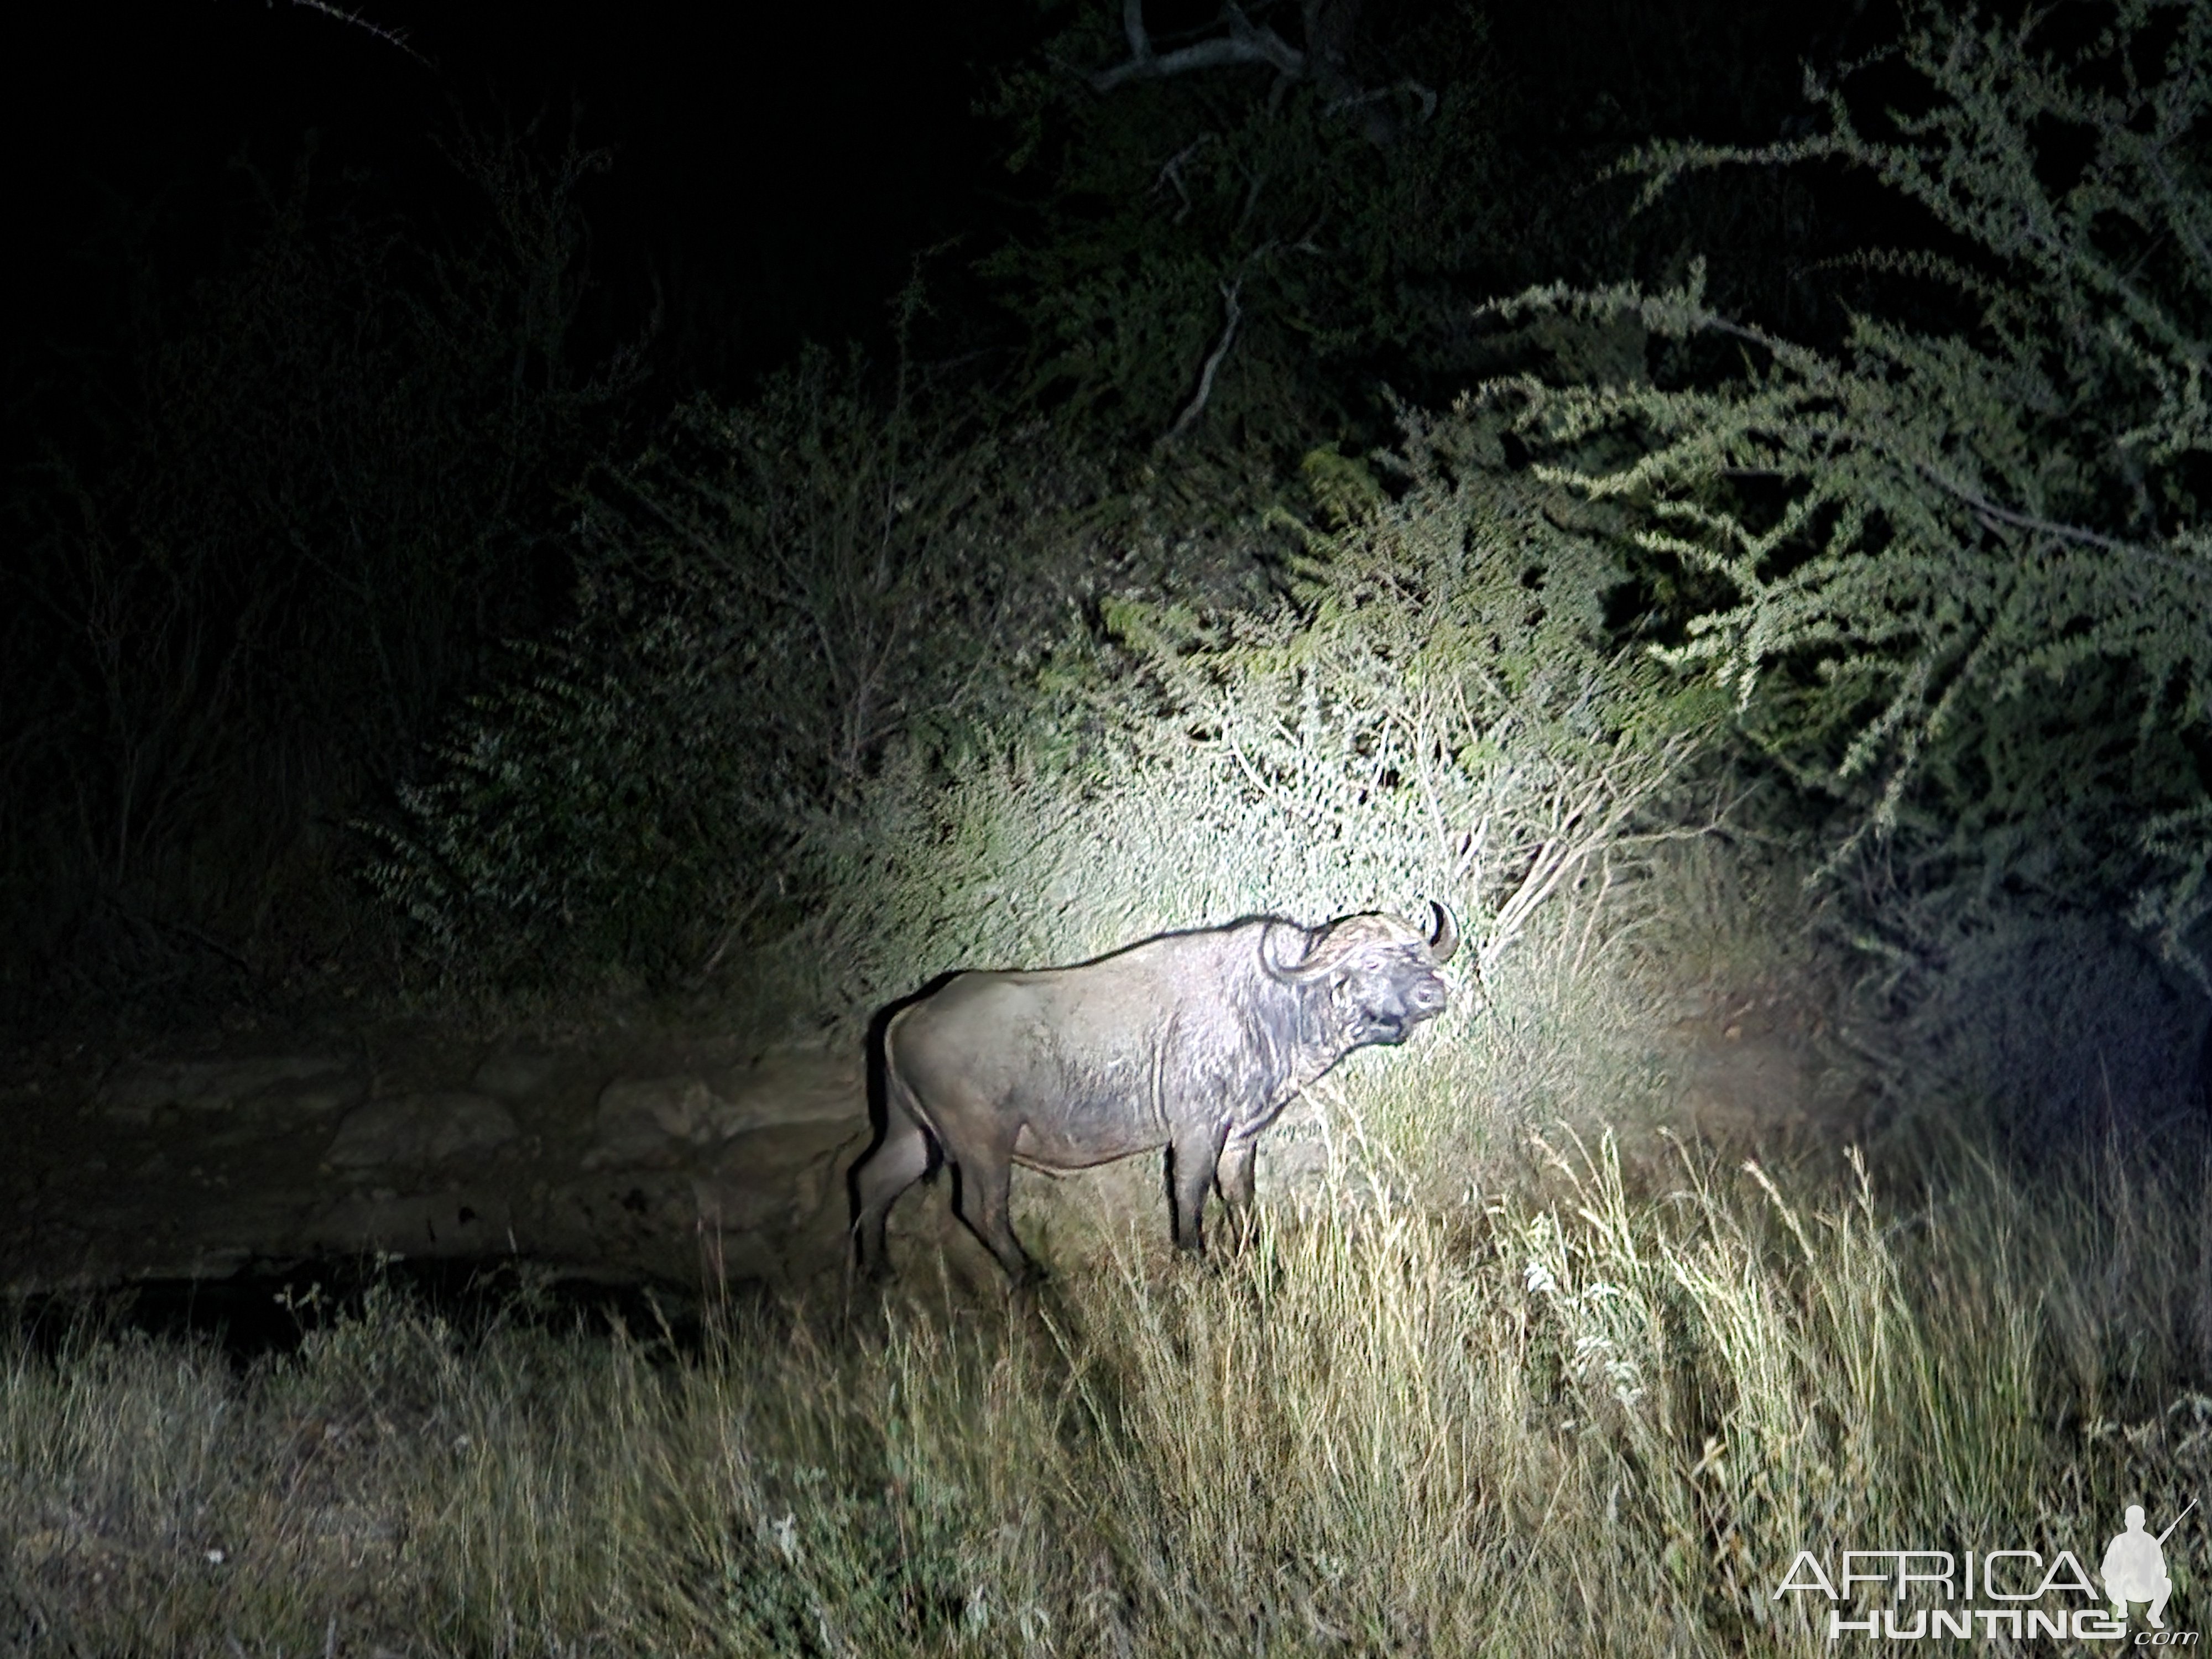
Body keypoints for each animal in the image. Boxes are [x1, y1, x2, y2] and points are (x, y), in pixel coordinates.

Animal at [845, 911, 1451, 1283]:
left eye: (1418, 957)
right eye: (1371, 962)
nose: (1434, 992)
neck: (1262, 1003)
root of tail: (908, 1015)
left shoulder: (1241, 1136)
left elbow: (1241, 1198)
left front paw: (1259, 1261)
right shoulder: (1196, 1131)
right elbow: (1190, 1194)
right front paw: (1197, 1262)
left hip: (911, 1135)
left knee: (871, 1179)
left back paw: (878, 1270)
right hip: (982, 1144)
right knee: (981, 1208)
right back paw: (1029, 1275)